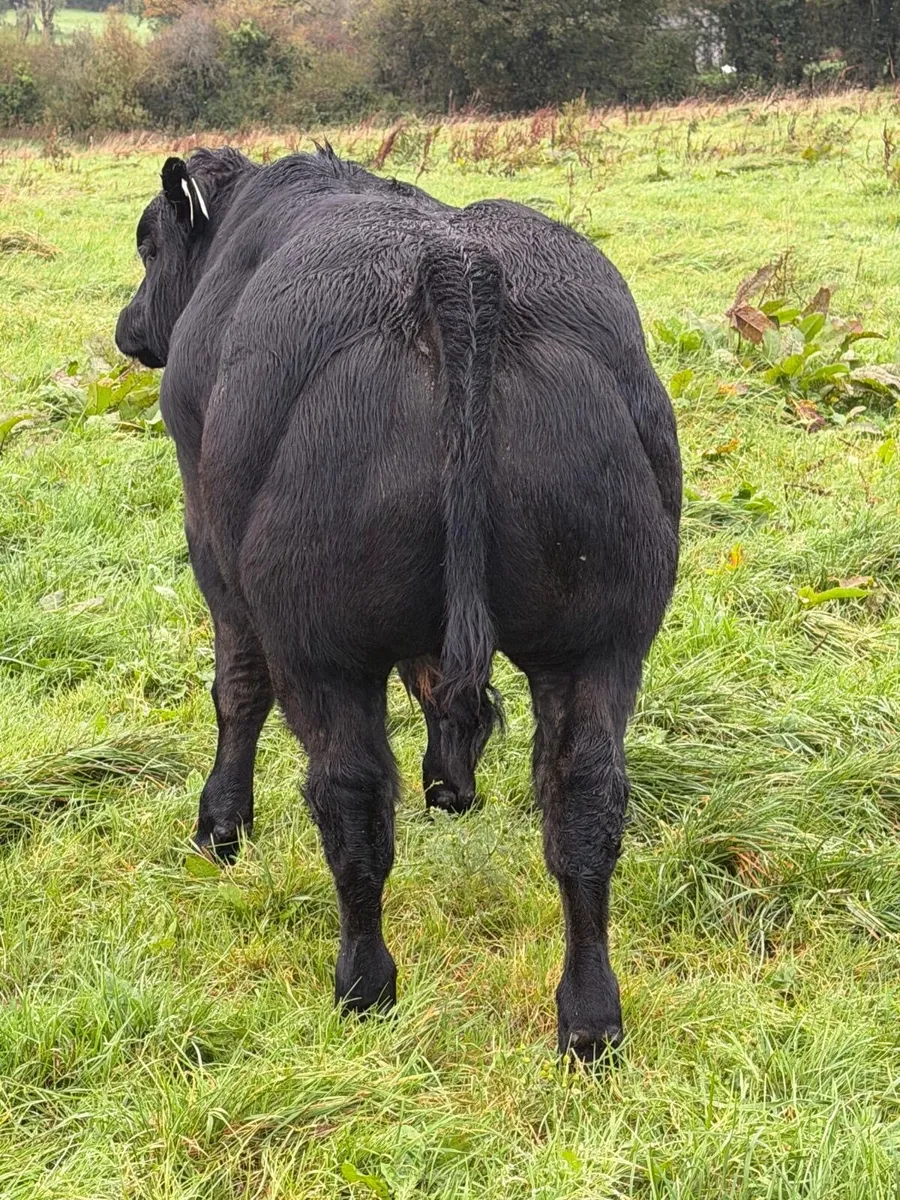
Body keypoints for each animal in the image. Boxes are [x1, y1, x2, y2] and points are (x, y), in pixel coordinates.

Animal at [115, 145, 681, 1061]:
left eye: (148, 243)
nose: (128, 327)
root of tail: (459, 265)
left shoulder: (212, 548)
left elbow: (237, 691)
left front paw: (219, 830)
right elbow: (438, 684)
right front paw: (451, 784)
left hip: (323, 641)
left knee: (349, 801)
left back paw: (363, 987)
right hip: (600, 634)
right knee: (586, 799)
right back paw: (590, 1020)